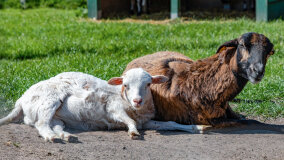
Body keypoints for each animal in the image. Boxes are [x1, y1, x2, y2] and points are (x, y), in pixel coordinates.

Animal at [0, 68, 209, 142]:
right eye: (126, 85)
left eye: (148, 84)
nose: (137, 100)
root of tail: (21, 100)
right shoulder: (113, 109)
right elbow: (129, 121)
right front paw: (133, 132)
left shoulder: (147, 121)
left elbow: (171, 124)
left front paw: (198, 127)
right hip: (48, 100)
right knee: (41, 124)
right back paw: (52, 137)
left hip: (58, 116)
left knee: (55, 125)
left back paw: (66, 136)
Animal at [123, 32, 276, 129]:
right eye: (243, 45)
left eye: (269, 51)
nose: (258, 71)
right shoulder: (211, 120)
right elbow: (250, 122)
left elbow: (244, 119)